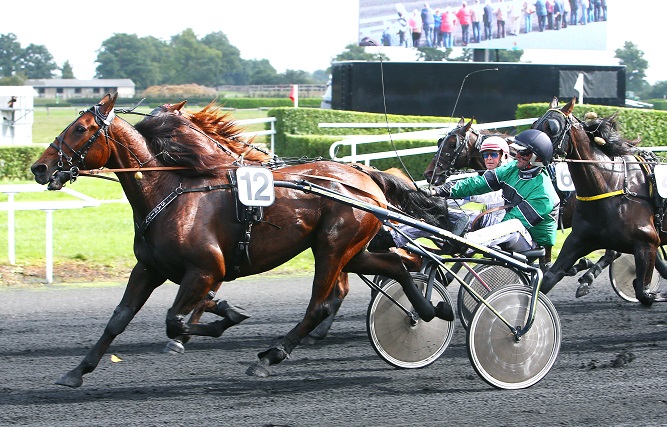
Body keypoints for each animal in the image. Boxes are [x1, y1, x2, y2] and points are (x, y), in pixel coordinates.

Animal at [28, 93, 452, 388]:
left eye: (80, 128)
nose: (39, 167)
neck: (171, 190)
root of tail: (365, 177)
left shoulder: (205, 269)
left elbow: (174, 321)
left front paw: (225, 318)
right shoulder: (149, 267)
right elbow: (119, 318)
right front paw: (76, 371)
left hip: (333, 247)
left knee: (321, 302)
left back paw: (269, 357)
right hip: (352, 249)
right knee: (400, 264)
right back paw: (430, 310)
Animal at [536, 98, 667, 304]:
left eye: (552, 127)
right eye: (534, 124)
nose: (524, 148)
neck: (611, 185)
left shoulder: (648, 242)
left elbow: (644, 293)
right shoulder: (580, 239)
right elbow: (548, 278)